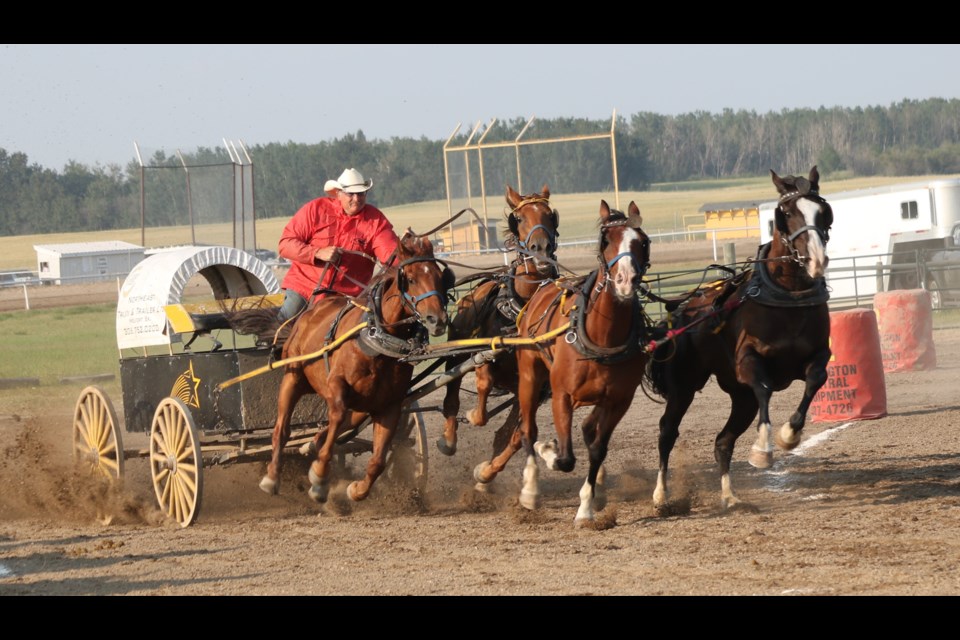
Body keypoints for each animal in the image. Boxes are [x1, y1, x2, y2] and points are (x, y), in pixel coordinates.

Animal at [436, 182, 560, 458]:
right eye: (519, 218)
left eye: (550, 216)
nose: (542, 249)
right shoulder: (483, 355)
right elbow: (483, 384)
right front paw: (472, 416)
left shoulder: (537, 386)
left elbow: (513, 435)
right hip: (457, 351)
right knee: (451, 395)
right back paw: (447, 438)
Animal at [472, 200, 652, 524]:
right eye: (606, 241)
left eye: (643, 242)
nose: (625, 281)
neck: (601, 337)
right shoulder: (561, 395)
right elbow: (564, 458)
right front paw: (548, 453)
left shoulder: (618, 401)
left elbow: (597, 449)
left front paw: (587, 507)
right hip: (530, 378)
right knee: (527, 430)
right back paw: (529, 487)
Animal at [648, 166, 836, 510]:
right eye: (786, 213)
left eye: (823, 212)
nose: (817, 260)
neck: (787, 296)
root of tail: (683, 308)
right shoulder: (748, 361)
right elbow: (764, 388)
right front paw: (763, 450)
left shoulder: (817, 355)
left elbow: (815, 380)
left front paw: (789, 435)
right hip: (683, 388)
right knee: (667, 432)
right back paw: (661, 494)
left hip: (740, 397)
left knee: (723, 441)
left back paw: (729, 495)